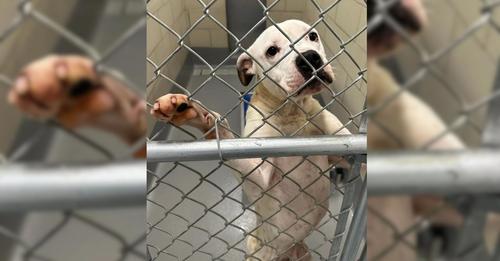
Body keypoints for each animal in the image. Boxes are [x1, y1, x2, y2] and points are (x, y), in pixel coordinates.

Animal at [152, 19, 352, 258]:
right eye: (272, 51)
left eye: (312, 36)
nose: (310, 57)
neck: (291, 113)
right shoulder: (259, 171)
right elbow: (222, 133)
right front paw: (197, 114)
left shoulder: (346, 151)